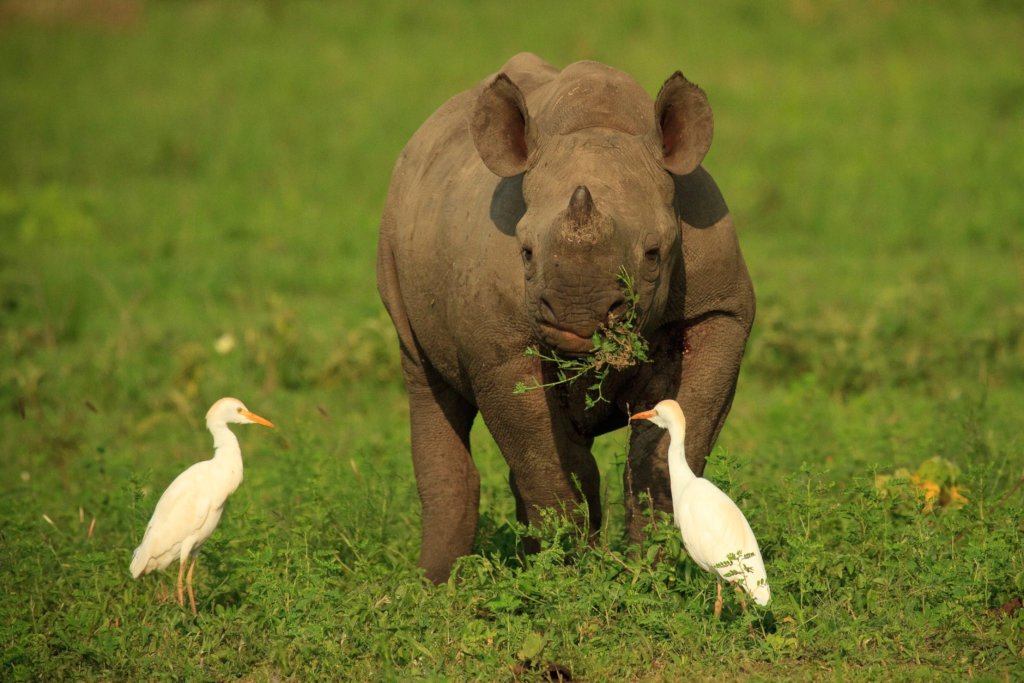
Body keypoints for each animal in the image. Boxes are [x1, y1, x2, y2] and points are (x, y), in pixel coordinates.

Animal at [377, 53, 754, 583]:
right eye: (526, 251)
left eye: (654, 254)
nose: (579, 315)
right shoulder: (499, 342)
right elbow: (549, 465)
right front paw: (569, 581)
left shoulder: (718, 310)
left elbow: (664, 453)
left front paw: (650, 573)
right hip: (395, 239)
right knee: (425, 379)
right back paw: (434, 587)